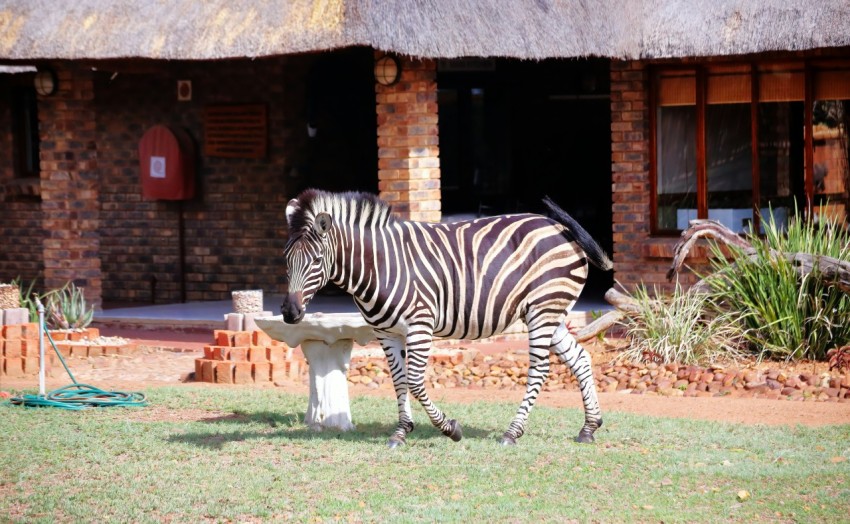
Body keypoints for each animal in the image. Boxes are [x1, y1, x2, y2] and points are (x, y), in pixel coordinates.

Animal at [282, 190, 612, 448]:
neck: (379, 266)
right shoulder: (385, 331)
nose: (289, 312)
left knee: (540, 369)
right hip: (549, 313)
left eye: (317, 260)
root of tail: (559, 227)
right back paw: (588, 428)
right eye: (286, 260)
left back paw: (512, 432)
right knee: (580, 358)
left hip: (544, 309)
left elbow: (415, 382)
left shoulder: (420, 326)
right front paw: (401, 432)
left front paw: (450, 428)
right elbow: (399, 380)